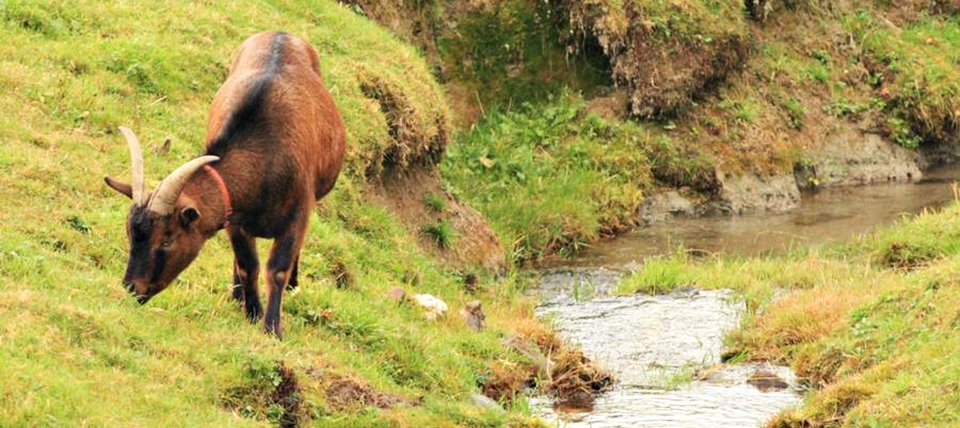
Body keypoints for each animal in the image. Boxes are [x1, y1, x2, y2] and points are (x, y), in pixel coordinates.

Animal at [106, 31, 344, 338]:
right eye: (130, 233)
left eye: (168, 238)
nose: (133, 287)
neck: (264, 156)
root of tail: (281, 33)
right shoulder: (234, 220)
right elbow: (247, 265)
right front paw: (252, 312)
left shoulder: (298, 215)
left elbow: (277, 269)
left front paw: (272, 328)